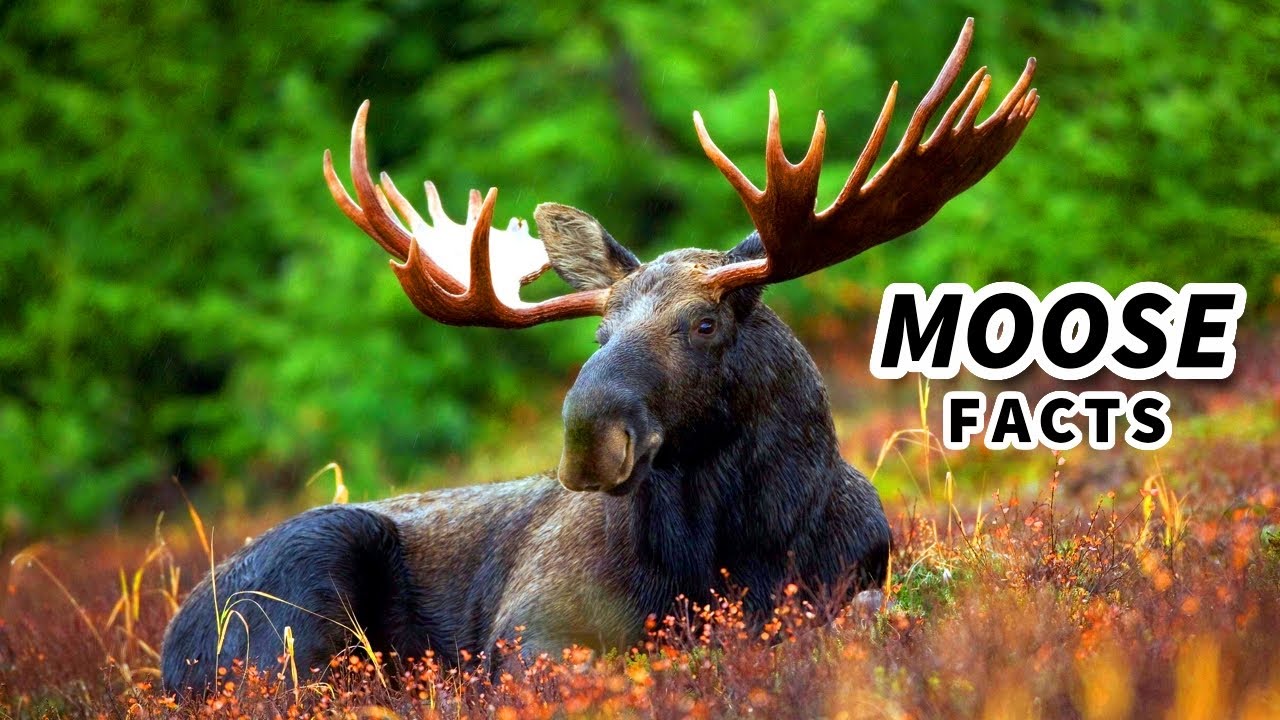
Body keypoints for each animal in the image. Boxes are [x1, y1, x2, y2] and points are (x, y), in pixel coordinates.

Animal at [160, 19, 1037, 693]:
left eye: (704, 324)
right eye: (599, 334)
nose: (588, 436)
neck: (736, 548)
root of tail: (170, 648)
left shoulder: (854, 582)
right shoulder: (531, 627)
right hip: (302, 588)